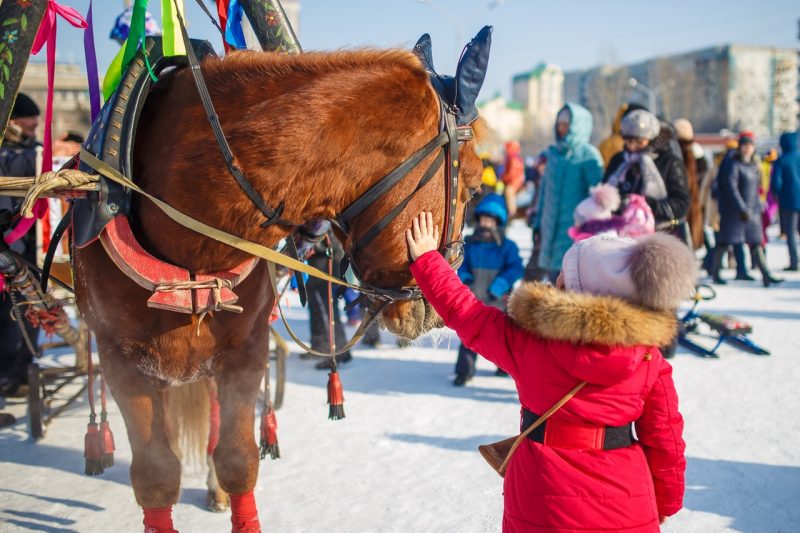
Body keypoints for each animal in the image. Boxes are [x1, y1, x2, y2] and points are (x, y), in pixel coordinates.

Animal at [73, 36, 488, 528]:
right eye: (475, 187)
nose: (431, 314)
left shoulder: (244, 351)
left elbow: (237, 460)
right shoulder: (119, 358)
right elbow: (156, 476)